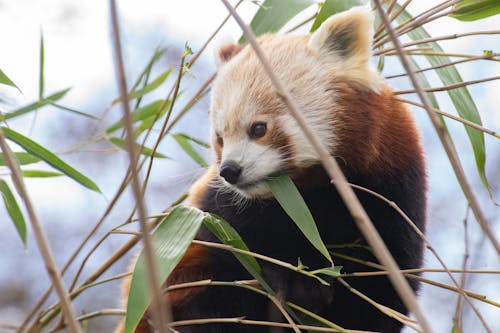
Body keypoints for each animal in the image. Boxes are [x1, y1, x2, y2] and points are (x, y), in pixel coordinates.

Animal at [116, 6, 426, 332]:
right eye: (220, 138)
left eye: (259, 129)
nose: (230, 170)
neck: (309, 196)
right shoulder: (215, 210)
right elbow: (228, 241)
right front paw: (291, 275)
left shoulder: (393, 188)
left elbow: (385, 288)